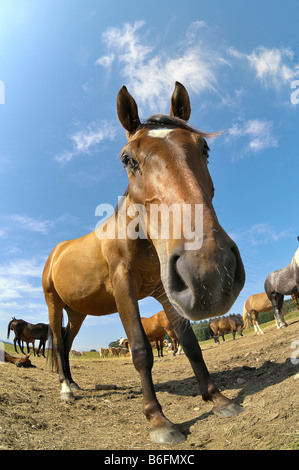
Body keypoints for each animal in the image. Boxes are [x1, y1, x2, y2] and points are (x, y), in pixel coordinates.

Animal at [42, 81, 245, 444]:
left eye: (204, 148)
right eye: (127, 159)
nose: (210, 271)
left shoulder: (168, 293)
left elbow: (191, 345)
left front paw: (218, 398)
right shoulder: (124, 287)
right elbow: (139, 349)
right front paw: (158, 420)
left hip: (77, 312)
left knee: (66, 341)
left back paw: (75, 384)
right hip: (53, 304)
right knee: (58, 339)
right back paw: (65, 389)